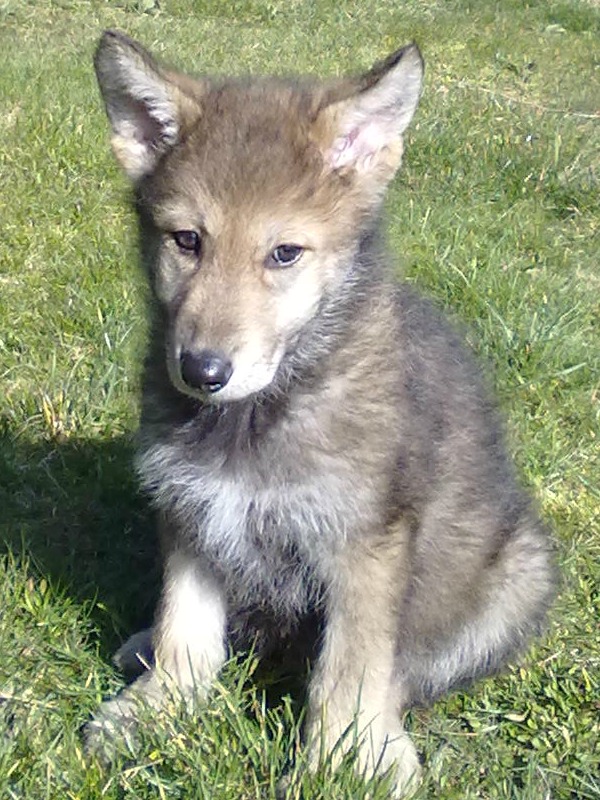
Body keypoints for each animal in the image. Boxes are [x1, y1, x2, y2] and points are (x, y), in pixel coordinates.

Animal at [91, 31, 556, 792]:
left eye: (284, 253)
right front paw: (160, 708)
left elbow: (351, 666)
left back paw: (388, 746)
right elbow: (186, 628)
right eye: (187, 240)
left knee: (407, 670)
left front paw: (345, 762)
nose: (202, 371)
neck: (261, 414)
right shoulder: (192, 509)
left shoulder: (363, 540)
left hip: (520, 574)